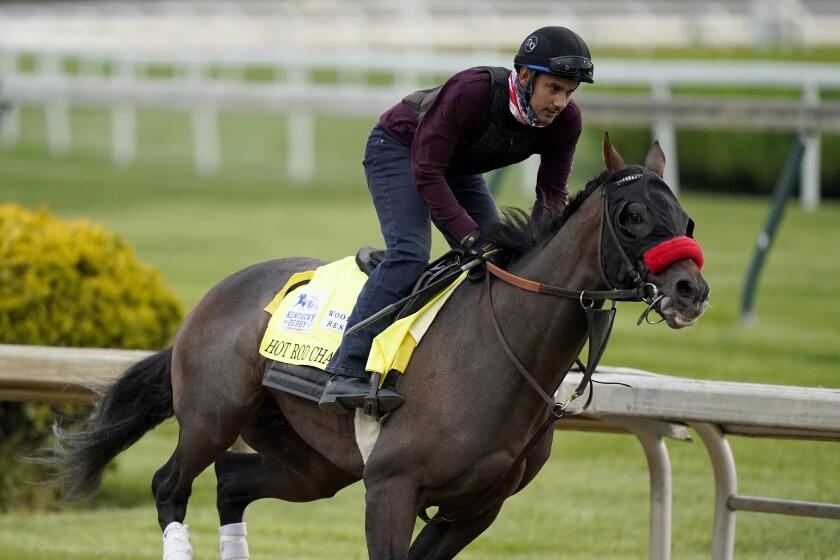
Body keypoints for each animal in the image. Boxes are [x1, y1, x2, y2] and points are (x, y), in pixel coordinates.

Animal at [47, 133, 708, 556]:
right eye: (631, 216)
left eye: (687, 220)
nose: (692, 289)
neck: (500, 351)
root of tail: (212, 298)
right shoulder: (390, 487)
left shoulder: (476, 507)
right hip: (213, 416)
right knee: (170, 486)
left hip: (311, 463)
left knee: (231, 482)